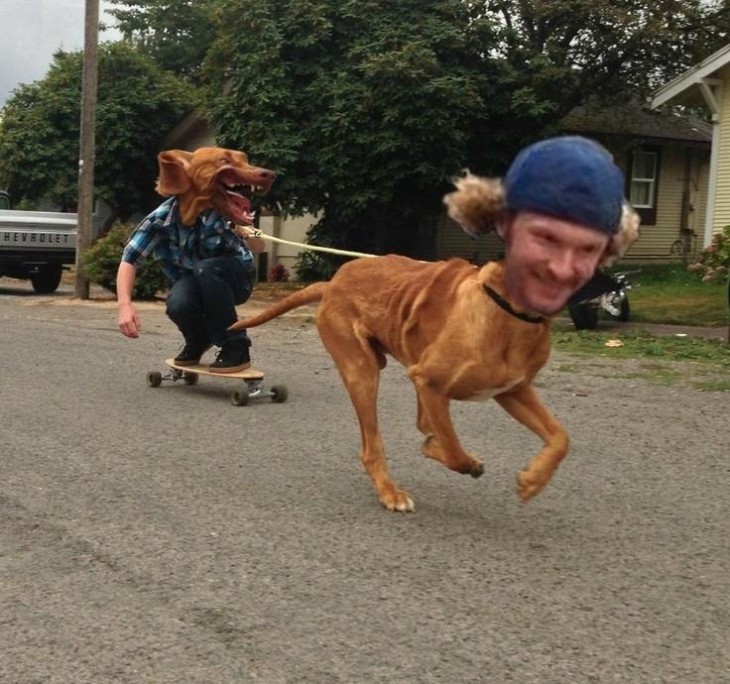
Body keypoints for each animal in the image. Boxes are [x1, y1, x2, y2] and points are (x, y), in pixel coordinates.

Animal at [229, 176, 636, 512]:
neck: (510, 314)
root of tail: (333, 282)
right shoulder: (430, 381)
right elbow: (453, 447)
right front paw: (458, 458)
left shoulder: (513, 391)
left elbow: (560, 437)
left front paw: (533, 480)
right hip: (362, 372)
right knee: (373, 446)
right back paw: (390, 491)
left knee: (422, 421)